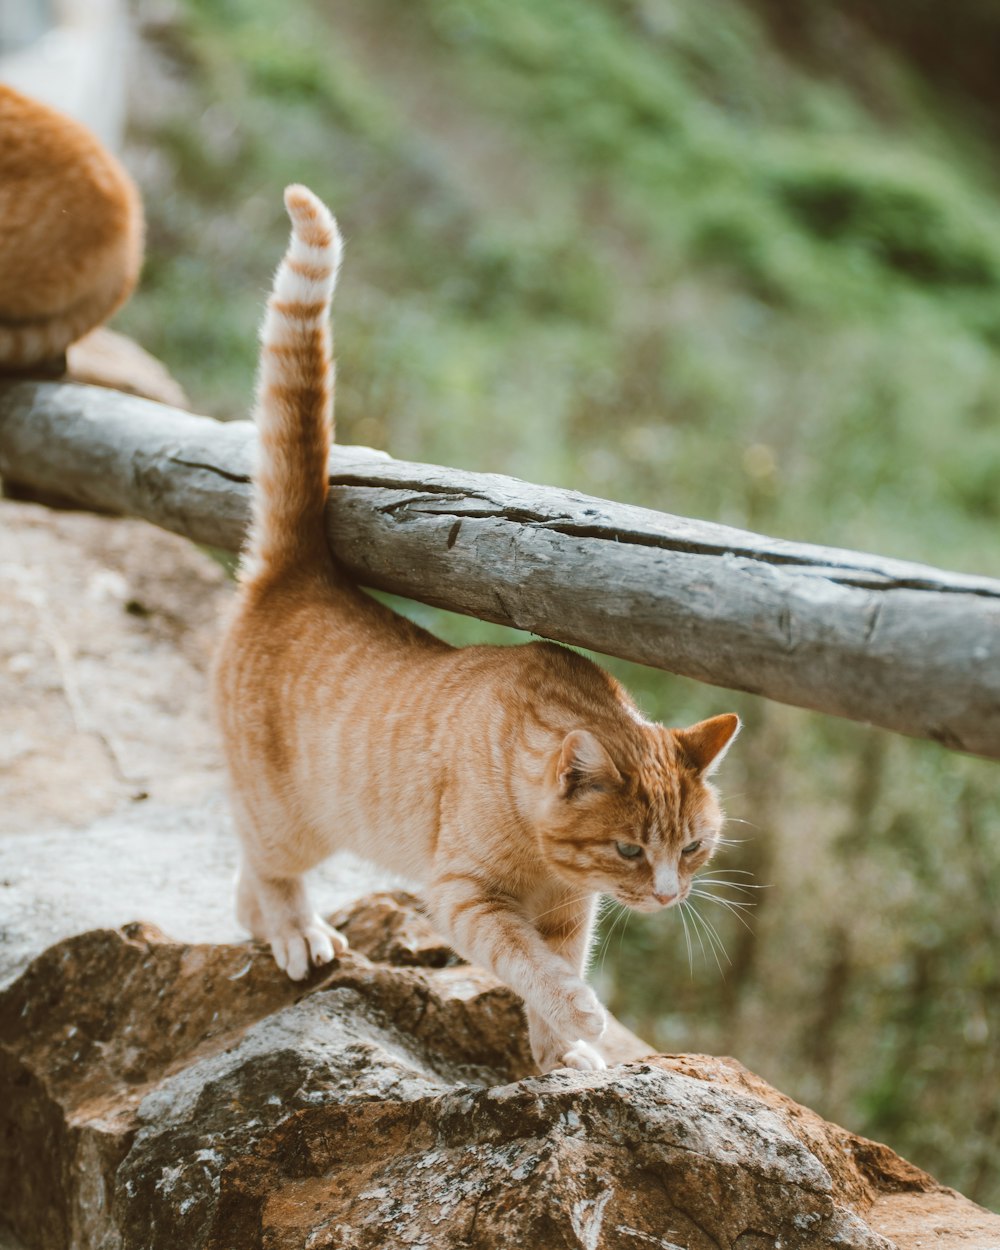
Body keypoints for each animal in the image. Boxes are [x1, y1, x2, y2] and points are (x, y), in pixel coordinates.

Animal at [212, 185, 740, 1075]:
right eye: (632, 851)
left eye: (694, 848)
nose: (669, 895)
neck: (546, 862)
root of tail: (301, 566)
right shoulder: (462, 898)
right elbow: (530, 964)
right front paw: (580, 1016)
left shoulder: (571, 916)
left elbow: (552, 967)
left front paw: (562, 1056)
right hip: (288, 816)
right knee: (265, 867)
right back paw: (295, 931)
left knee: (244, 882)